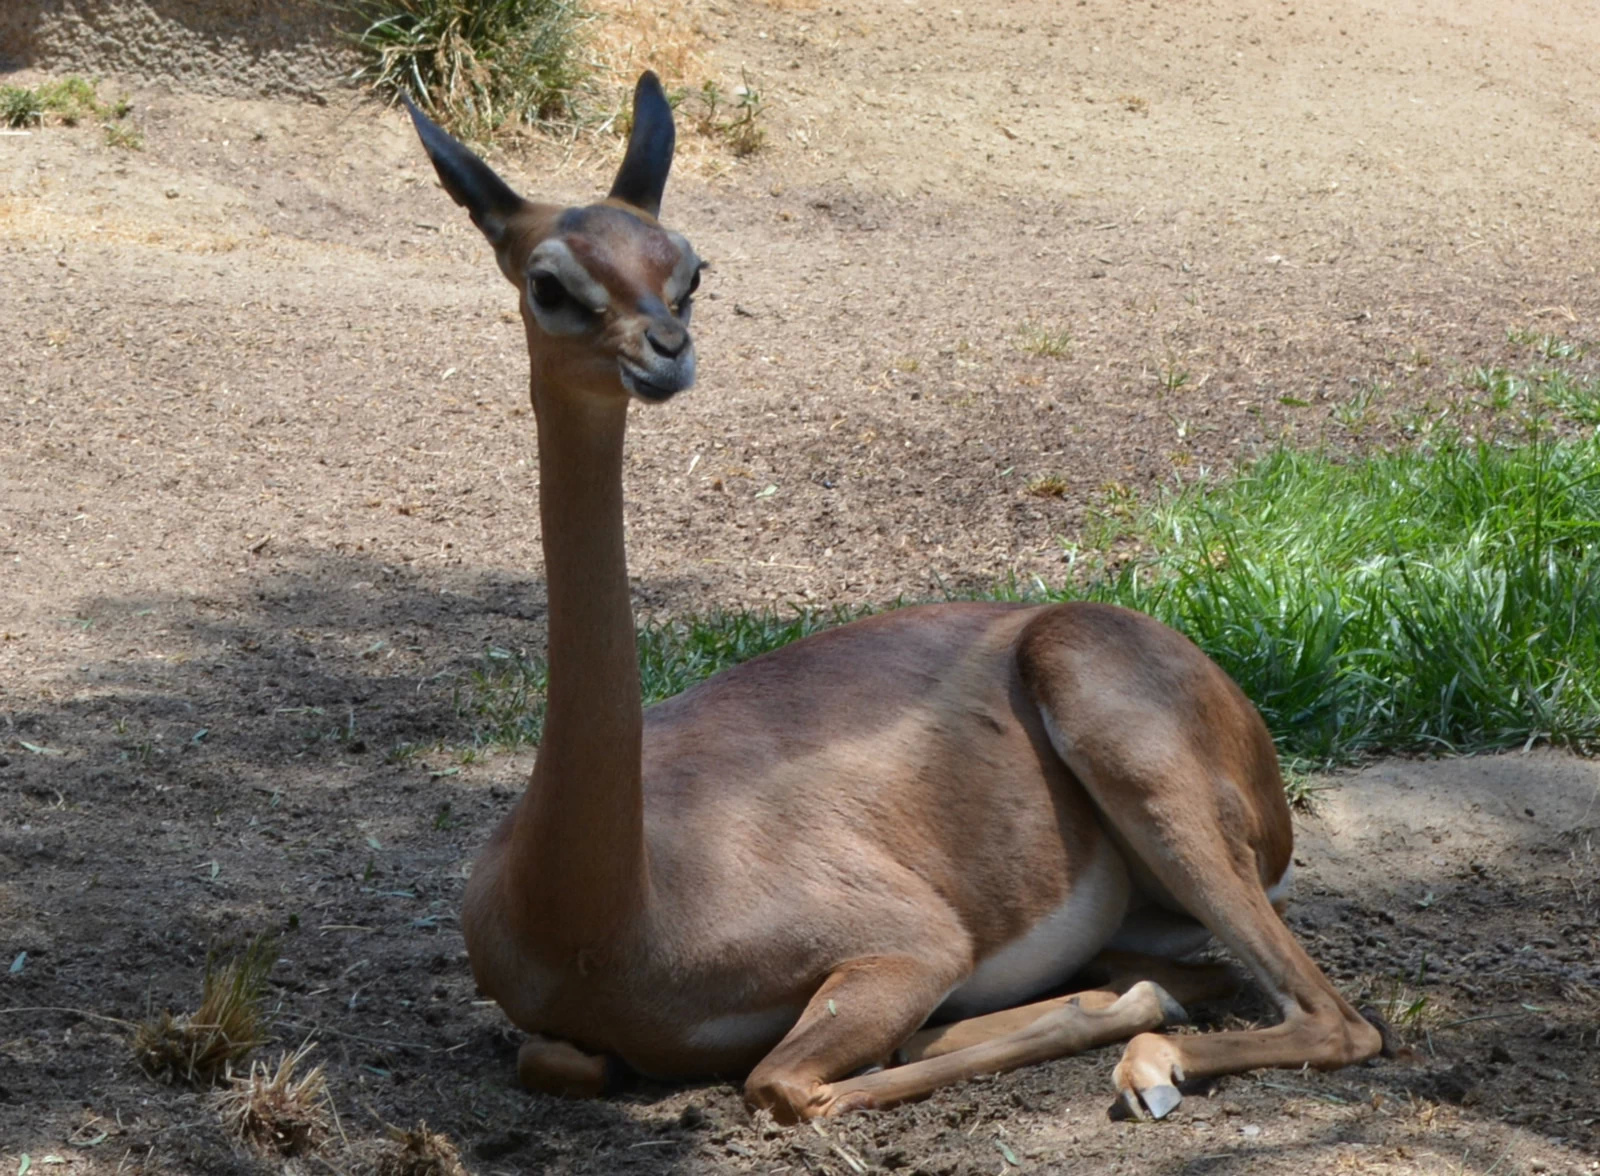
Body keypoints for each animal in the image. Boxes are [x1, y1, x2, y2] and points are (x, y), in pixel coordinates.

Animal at [403, 71, 1388, 1120]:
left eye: (689, 270)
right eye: (548, 282)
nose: (666, 351)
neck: (608, 915)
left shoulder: (912, 949)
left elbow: (785, 1084)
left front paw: (1109, 1021)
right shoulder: (561, 1030)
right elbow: (564, 1061)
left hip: (1142, 770)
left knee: (1334, 1020)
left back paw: (1149, 1061)